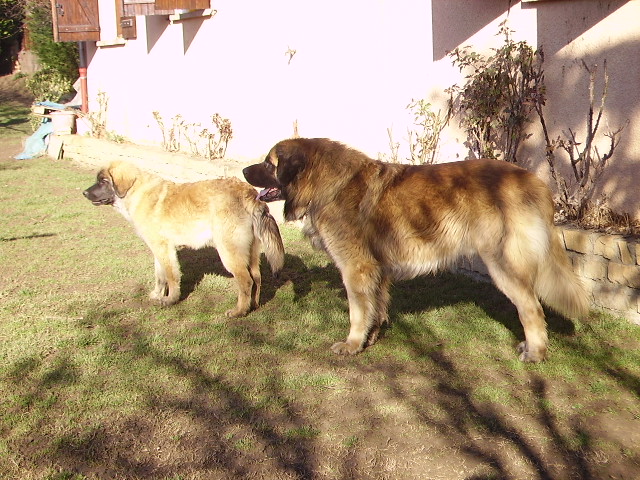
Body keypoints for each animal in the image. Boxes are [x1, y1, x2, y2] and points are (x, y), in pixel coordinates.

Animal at [84, 162, 284, 318]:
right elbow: (160, 276)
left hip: (229, 252)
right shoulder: (159, 249)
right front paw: (157, 295)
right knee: (256, 278)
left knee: (246, 281)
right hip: (251, 252)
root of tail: (247, 192)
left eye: (103, 181)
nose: (85, 193)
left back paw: (239, 312)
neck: (136, 192)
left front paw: (171, 299)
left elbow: (171, 276)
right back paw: (253, 306)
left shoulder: (165, 249)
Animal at [245, 137, 592, 362]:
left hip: (502, 263)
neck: (329, 183)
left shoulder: (356, 269)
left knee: (531, 309)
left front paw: (353, 344)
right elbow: (377, 307)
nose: (245, 172)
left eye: (269, 163)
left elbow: (358, 312)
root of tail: (535, 182)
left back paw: (535, 352)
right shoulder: (377, 271)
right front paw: (372, 338)